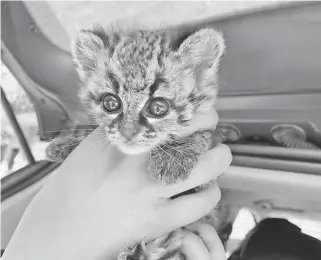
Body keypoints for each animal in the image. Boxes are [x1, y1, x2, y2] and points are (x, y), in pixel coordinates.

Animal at [45, 24, 225, 260]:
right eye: (111, 103)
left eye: (158, 107)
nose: (127, 132)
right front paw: (66, 144)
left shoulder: (208, 180)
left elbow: (206, 136)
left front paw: (173, 157)